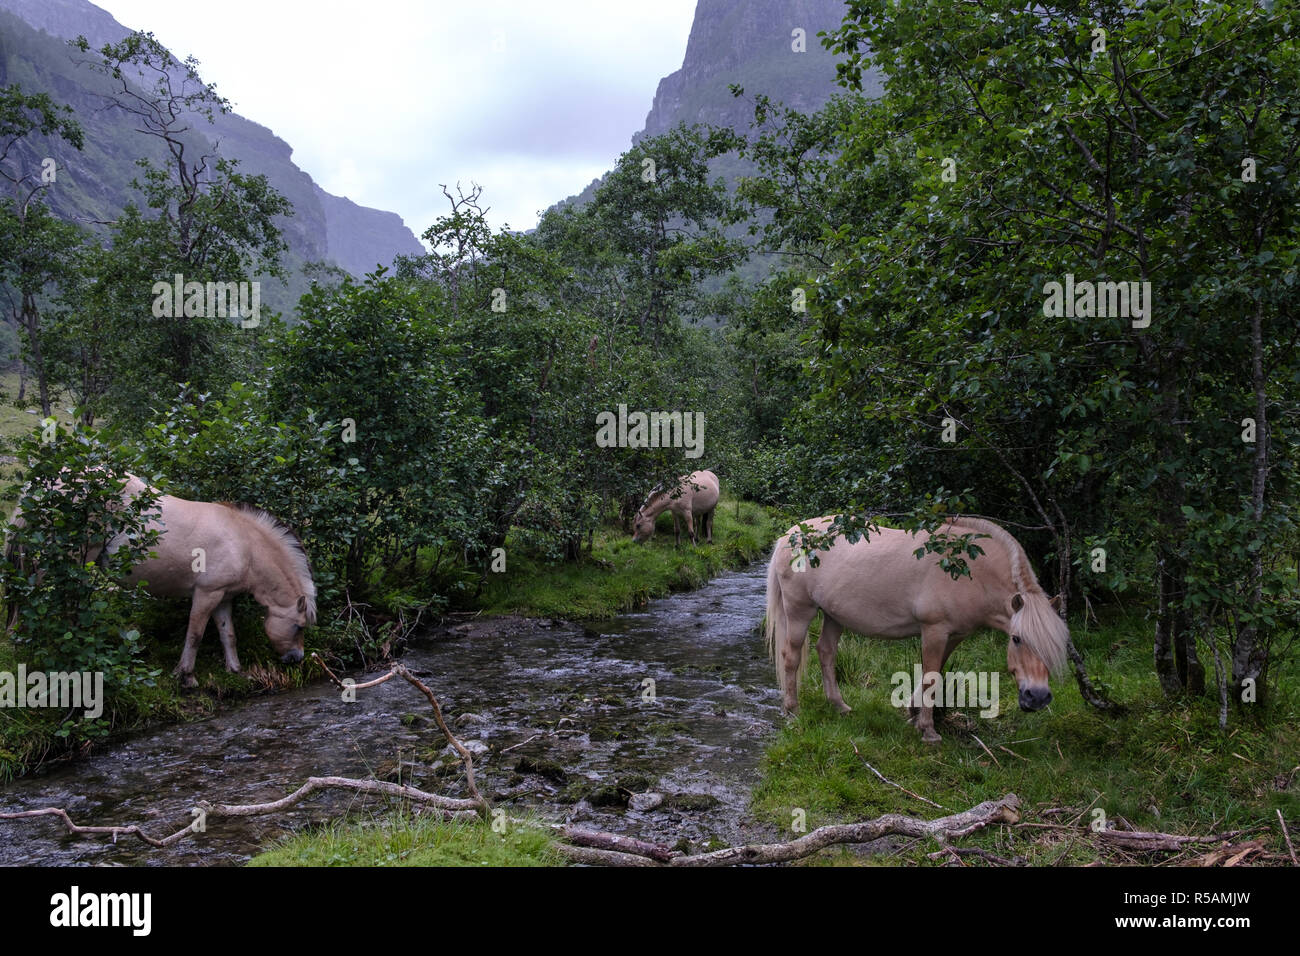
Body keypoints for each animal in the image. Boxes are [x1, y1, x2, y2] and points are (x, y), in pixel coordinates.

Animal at [759, 515, 1066, 749]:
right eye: (1017, 639)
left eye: (1055, 646)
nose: (1037, 697)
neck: (970, 570)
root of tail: (789, 535)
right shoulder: (934, 629)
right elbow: (930, 676)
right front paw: (928, 730)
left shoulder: (954, 635)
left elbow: (936, 673)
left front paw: (913, 712)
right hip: (800, 611)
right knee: (791, 657)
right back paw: (793, 710)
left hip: (834, 615)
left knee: (826, 652)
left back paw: (839, 706)